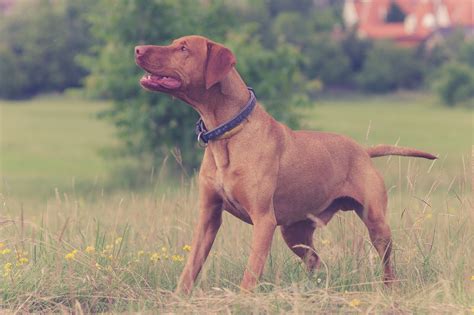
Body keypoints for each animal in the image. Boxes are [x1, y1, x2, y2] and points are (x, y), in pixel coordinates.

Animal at [134, 35, 436, 296]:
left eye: (184, 48)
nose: (137, 49)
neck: (227, 135)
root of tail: (362, 149)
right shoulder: (208, 216)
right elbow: (191, 266)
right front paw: (177, 298)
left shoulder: (263, 220)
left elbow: (251, 272)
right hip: (294, 233)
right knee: (317, 262)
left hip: (377, 224)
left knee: (387, 265)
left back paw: (388, 290)